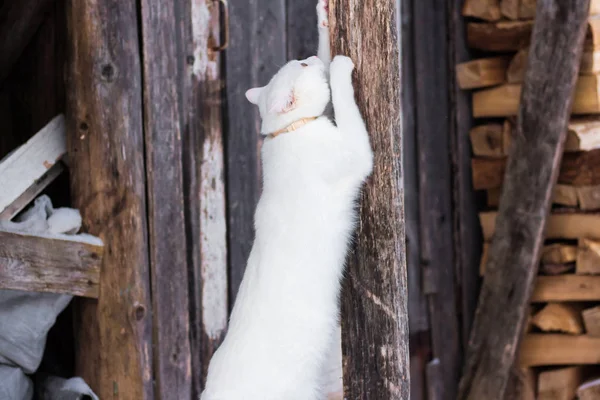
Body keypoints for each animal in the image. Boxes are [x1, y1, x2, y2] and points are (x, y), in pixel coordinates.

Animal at [200, 1, 370, 398]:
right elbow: (343, 99)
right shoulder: (356, 152)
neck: (286, 132)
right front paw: (338, 67)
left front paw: (324, 18)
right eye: (303, 66)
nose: (309, 56)